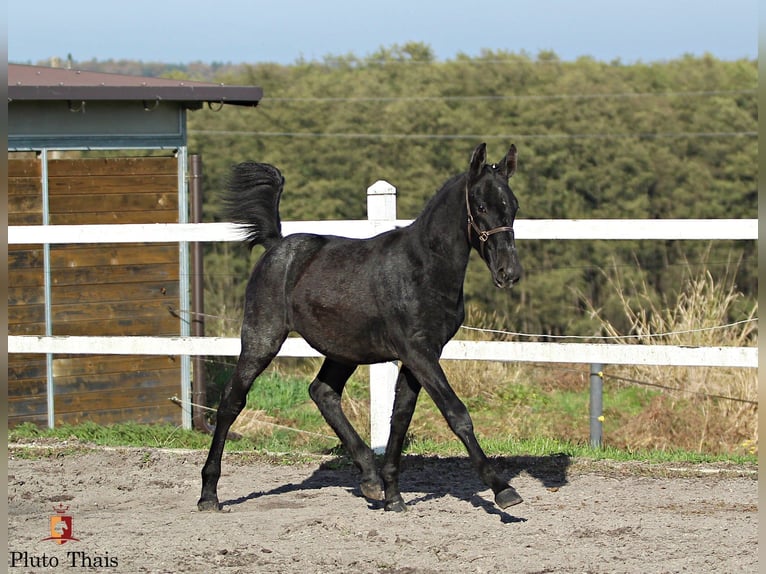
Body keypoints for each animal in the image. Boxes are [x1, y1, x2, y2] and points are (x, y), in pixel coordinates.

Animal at [198, 143, 524, 512]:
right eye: (481, 206)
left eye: (513, 206)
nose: (508, 272)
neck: (423, 268)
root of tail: (277, 246)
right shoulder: (419, 353)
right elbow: (456, 413)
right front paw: (502, 490)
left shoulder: (420, 355)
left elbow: (400, 417)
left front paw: (393, 494)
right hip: (262, 338)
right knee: (232, 400)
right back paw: (209, 494)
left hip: (343, 350)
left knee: (322, 393)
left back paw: (370, 479)